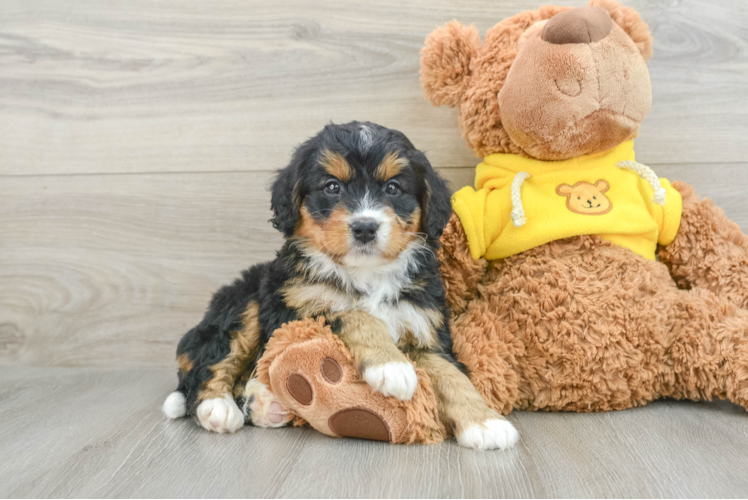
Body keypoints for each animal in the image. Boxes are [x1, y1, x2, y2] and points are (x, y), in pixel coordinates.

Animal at [162, 121, 520, 450]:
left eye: (393, 188)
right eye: (332, 186)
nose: (365, 227)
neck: (367, 274)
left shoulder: (424, 327)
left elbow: (451, 374)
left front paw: (485, 423)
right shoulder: (300, 308)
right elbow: (355, 314)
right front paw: (392, 366)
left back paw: (265, 404)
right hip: (245, 302)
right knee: (210, 362)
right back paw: (217, 407)